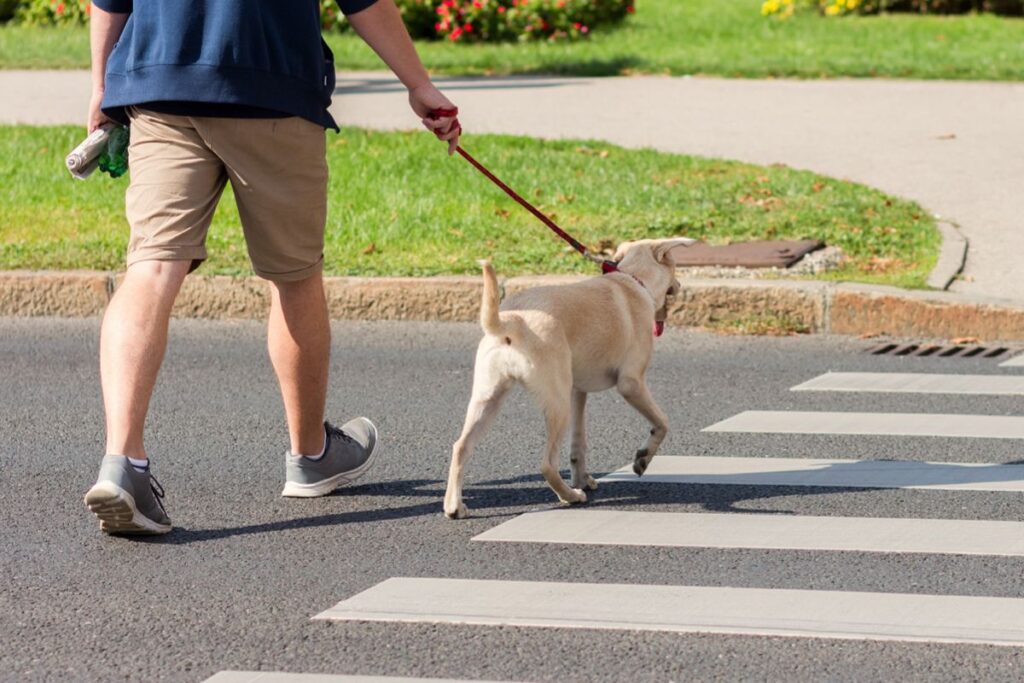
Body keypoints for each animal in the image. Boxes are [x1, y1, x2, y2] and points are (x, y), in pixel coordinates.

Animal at [444, 239, 692, 518]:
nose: (680, 285)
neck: (633, 279)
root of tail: (511, 321)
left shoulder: (577, 391)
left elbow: (578, 443)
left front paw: (583, 478)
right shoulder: (631, 384)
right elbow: (662, 423)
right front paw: (642, 459)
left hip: (489, 399)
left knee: (461, 447)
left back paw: (454, 506)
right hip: (557, 404)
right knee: (547, 464)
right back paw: (570, 496)